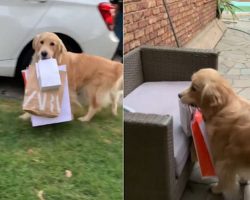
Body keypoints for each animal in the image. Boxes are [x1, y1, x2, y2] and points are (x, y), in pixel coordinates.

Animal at [179, 68, 250, 200]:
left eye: (194, 88)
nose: (179, 95)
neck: (223, 108)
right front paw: (243, 179)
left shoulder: (223, 158)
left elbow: (224, 179)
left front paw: (217, 189)